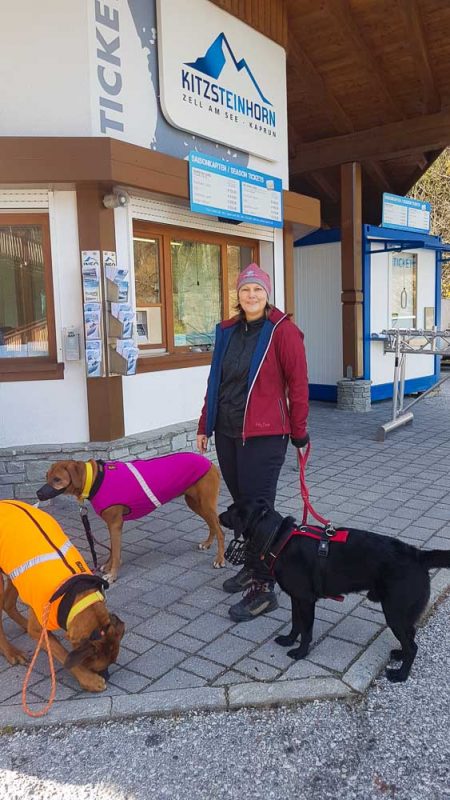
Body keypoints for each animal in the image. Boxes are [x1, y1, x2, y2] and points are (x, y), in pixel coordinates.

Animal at [227, 500, 450, 680]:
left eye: (231, 510)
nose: (220, 514)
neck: (280, 538)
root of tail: (419, 556)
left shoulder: (306, 601)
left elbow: (306, 631)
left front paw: (300, 653)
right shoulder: (296, 599)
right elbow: (296, 624)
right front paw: (289, 640)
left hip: (395, 614)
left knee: (412, 647)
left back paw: (401, 674)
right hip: (402, 615)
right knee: (410, 638)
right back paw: (400, 655)